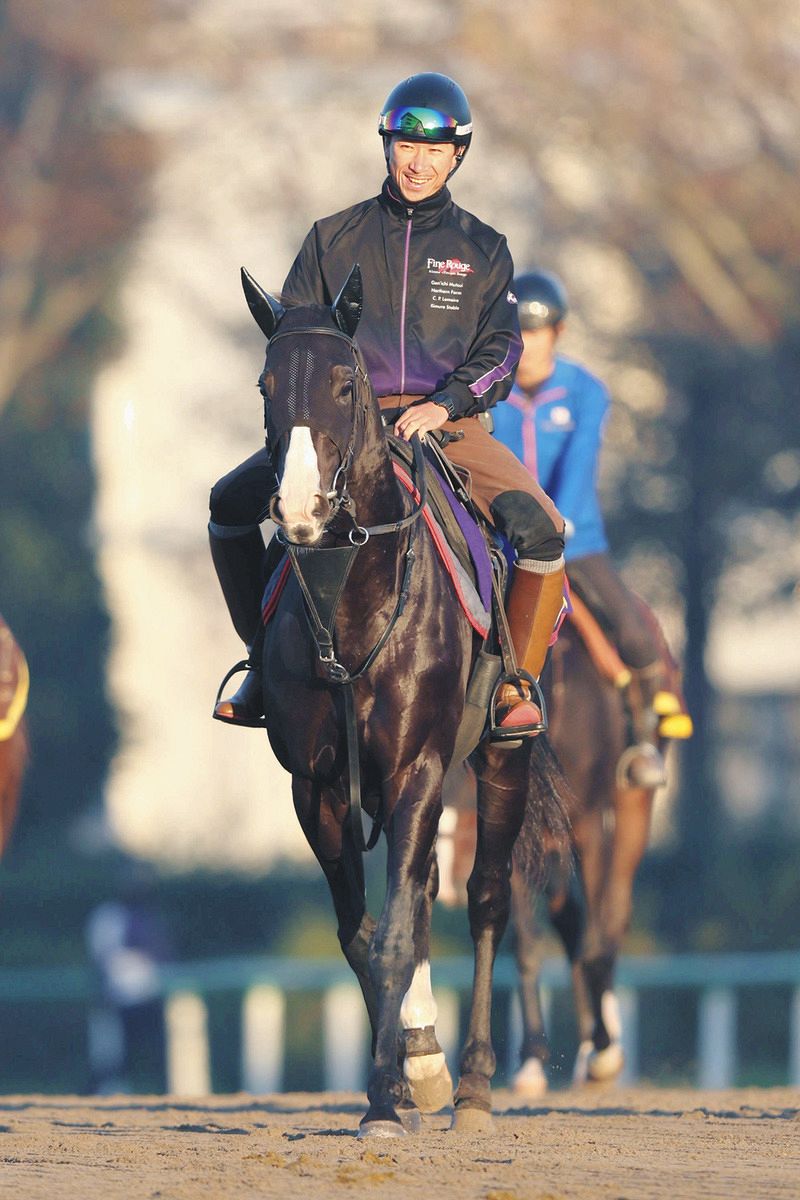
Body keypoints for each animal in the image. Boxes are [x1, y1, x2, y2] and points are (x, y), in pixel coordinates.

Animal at [241, 262, 566, 1132]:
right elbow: (365, 935)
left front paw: (394, 1096)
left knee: (485, 902)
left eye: (346, 383)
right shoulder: (317, 786)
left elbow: (398, 934)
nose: (300, 509)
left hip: (499, 759)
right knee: (418, 904)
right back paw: (427, 1059)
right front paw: (395, 1086)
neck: (352, 602)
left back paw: (478, 1083)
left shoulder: (418, 767)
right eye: (265, 385)